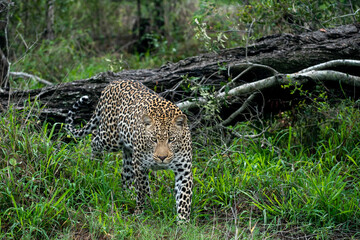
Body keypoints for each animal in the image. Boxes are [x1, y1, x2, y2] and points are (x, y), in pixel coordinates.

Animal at [64, 79, 194, 222]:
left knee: (125, 174)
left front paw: (183, 222)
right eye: (153, 139)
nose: (162, 158)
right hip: (111, 138)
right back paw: (95, 163)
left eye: (171, 139)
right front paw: (143, 210)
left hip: (127, 150)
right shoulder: (140, 165)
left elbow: (184, 198)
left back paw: (128, 196)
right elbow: (143, 189)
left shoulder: (184, 171)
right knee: (94, 138)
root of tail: (112, 83)